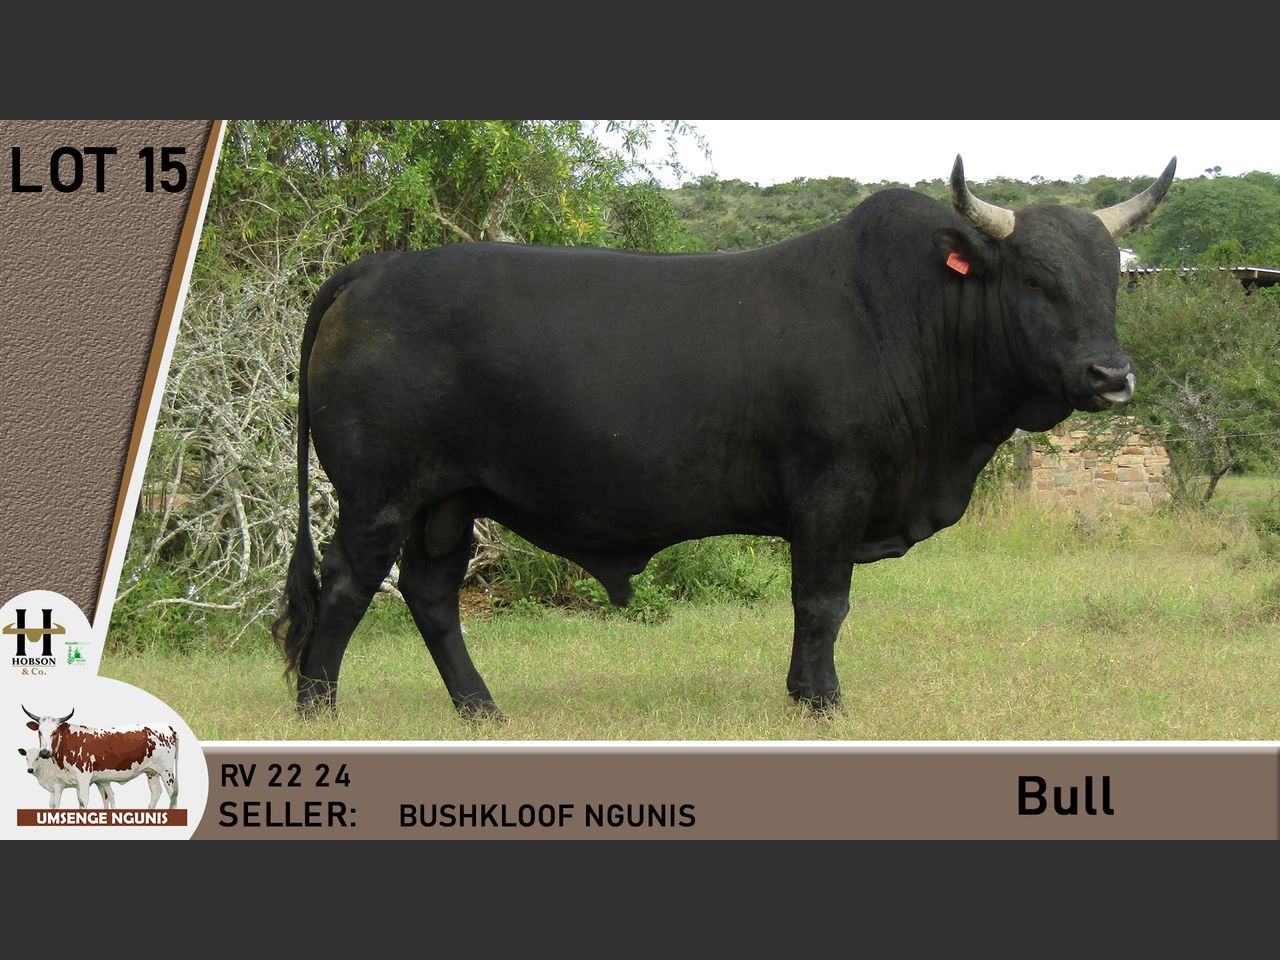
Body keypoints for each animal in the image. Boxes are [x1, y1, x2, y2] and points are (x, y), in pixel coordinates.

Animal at [22, 707, 180, 808]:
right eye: (39, 732)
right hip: (151, 772)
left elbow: (83, 801)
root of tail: (167, 726)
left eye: (54, 732)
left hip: (167, 772)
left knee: (173, 794)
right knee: (156, 792)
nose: (44, 752)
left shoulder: (83, 777)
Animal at [272, 154, 1175, 719]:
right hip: (379, 496)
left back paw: (480, 708)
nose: (1111, 376)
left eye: (1109, 279)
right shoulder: (832, 492)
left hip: (450, 500)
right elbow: (822, 603)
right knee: (349, 585)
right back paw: (319, 708)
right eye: (1035, 278)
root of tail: (372, 268)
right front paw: (819, 700)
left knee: (431, 595)